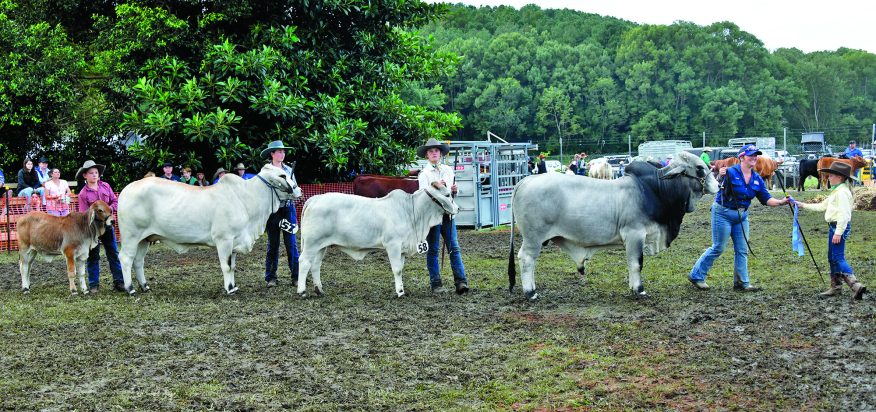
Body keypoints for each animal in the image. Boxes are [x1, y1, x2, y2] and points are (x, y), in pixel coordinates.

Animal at [117, 164, 302, 295]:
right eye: (282, 175)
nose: (298, 189)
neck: (245, 199)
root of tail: (126, 189)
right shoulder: (224, 240)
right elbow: (226, 266)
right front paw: (229, 289)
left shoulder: (234, 241)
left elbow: (233, 266)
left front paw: (234, 286)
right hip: (131, 236)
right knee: (126, 258)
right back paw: (130, 288)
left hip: (144, 239)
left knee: (138, 261)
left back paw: (145, 286)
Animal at [296, 183, 458, 298]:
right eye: (447, 194)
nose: (457, 209)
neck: (411, 211)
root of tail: (315, 198)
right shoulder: (393, 245)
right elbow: (397, 269)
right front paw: (400, 292)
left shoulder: (402, 249)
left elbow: (401, 268)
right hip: (311, 243)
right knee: (304, 262)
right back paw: (302, 291)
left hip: (321, 245)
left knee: (315, 265)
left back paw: (319, 290)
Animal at [508, 151, 719, 300]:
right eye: (699, 168)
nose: (718, 185)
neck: (654, 190)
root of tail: (525, 180)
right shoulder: (634, 234)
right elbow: (636, 263)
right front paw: (639, 290)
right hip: (533, 238)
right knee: (526, 259)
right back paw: (531, 293)